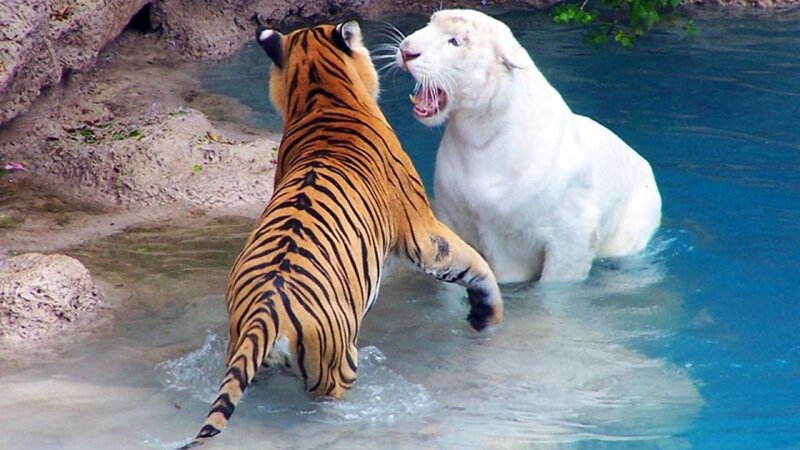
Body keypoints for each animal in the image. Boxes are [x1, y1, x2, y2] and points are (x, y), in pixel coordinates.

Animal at [179, 20, 503, 448]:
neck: (322, 96)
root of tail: (266, 314)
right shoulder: (421, 231)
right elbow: (473, 264)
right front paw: (487, 315)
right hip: (338, 366)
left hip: (244, 353)